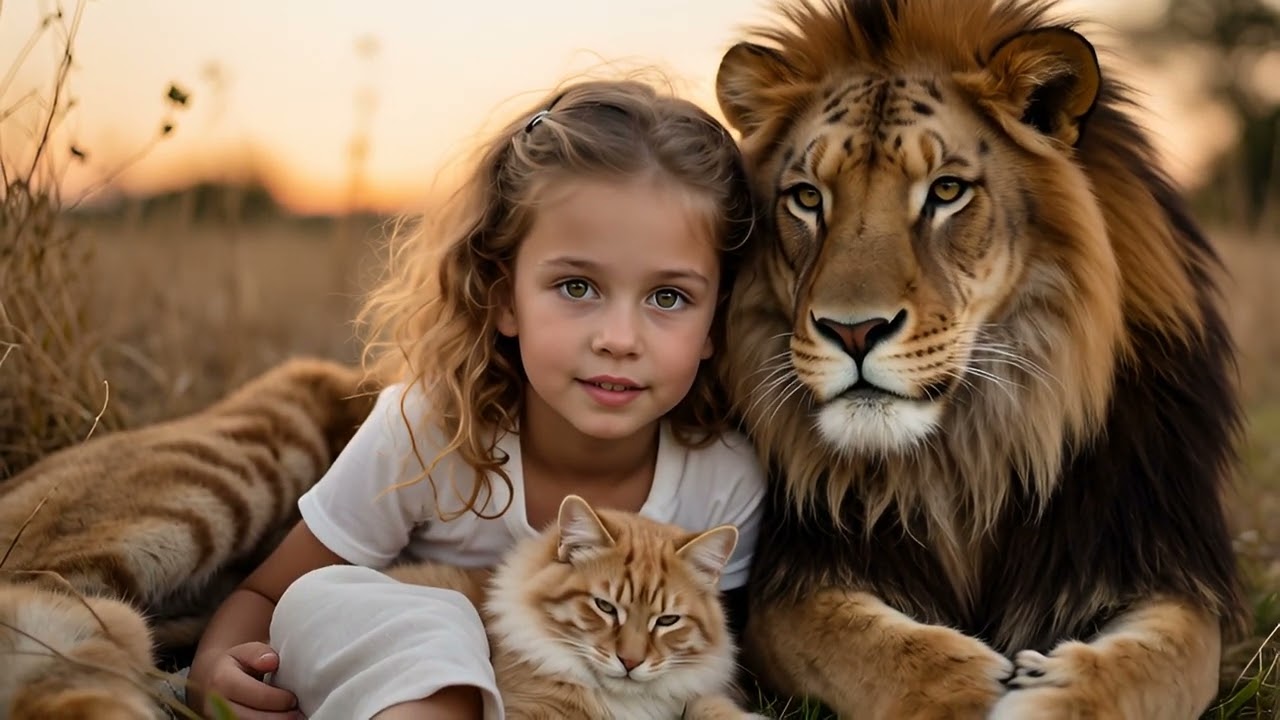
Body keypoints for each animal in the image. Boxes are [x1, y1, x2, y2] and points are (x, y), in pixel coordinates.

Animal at [713, 0, 1246, 718]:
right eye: (806, 198)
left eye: (946, 192)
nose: (853, 332)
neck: (972, 456)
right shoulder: (791, 583)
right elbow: (869, 648)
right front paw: (966, 688)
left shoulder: (1162, 564)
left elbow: (1155, 662)